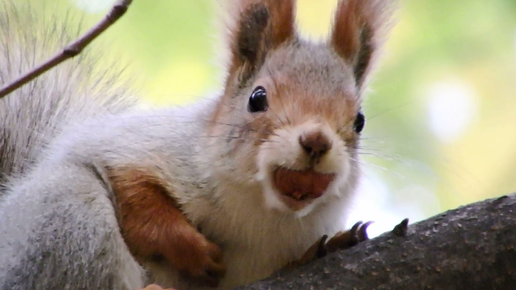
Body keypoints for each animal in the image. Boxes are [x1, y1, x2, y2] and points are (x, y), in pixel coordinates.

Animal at [0, 0, 398, 290]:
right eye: (257, 98)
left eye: (359, 120)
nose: (316, 141)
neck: (262, 213)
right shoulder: (131, 145)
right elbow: (134, 192)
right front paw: (194, 251)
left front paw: (325, 249)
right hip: (67, 220)